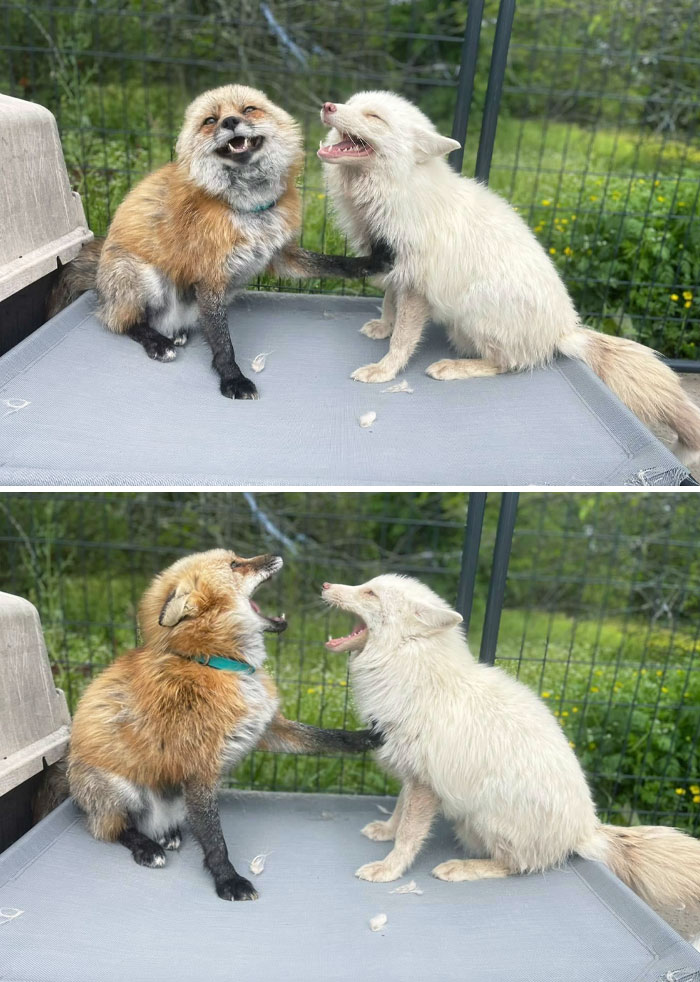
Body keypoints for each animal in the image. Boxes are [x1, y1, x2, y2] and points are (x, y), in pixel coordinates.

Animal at [47, 85, 388, 400]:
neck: (249, 209)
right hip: (144, 276)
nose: (231, 122)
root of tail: (100, 276)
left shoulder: (279, 256)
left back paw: (177, 333)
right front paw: (232, 378)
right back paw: (157, 341)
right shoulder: (211, 275)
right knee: (120, 321)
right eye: (210, 120)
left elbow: (332, 263)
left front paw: (371, 262)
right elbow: (223, 343)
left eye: (248, 109)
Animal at [68, 549, 379, 902]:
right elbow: (215, 840)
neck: (219, 664)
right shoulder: (200, 768)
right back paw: (147, 847)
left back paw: (168, 834)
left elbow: (327, 738)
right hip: (121, 790)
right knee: (113, 829)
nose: (277, 553)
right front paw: (228, 879)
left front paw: (368, 738)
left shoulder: (266, 728)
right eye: (235, 565)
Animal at [318, 90, 700, 466]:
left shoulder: (417, 285)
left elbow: (403, 341)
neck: (396, 192)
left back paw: (454, 366)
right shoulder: (395, 266)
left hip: (471, 317)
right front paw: (383, 327)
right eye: (352, 103)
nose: (327, 106)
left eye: (374, 118)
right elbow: (388, 304)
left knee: (509, 365)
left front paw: (384, 370)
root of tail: (564, 330)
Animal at [321, 573, 700, 944]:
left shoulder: (425, 785)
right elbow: (399, 815)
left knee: (517, 866)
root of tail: (585, 829)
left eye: (370, 593)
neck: (415, 675)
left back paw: (462, 867)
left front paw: (389, 869)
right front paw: (385, 832)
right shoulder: (413, 775)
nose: (325, 585)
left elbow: (409, 836)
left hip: (482, 818)